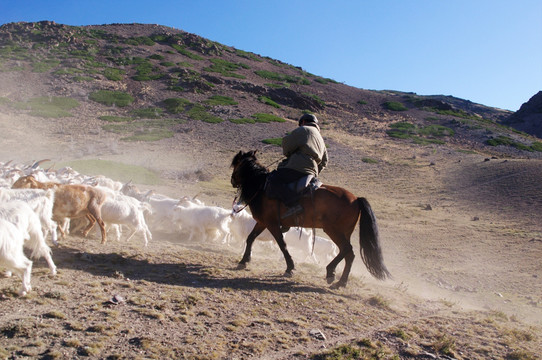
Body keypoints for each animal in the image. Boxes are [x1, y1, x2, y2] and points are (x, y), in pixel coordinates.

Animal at [230, 150, 392, 288]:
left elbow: (282, 244)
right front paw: (244, 261)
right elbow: (251, 237)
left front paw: (290, 268)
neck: (261, 187)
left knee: (347, 250)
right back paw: (340, 281)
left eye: (235, 165)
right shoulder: (263, 222)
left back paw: (331, 273)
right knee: (349, 255)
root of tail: (356, 199)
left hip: (333, 230)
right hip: (344, 232)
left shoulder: (272, 224)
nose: (232, 181)